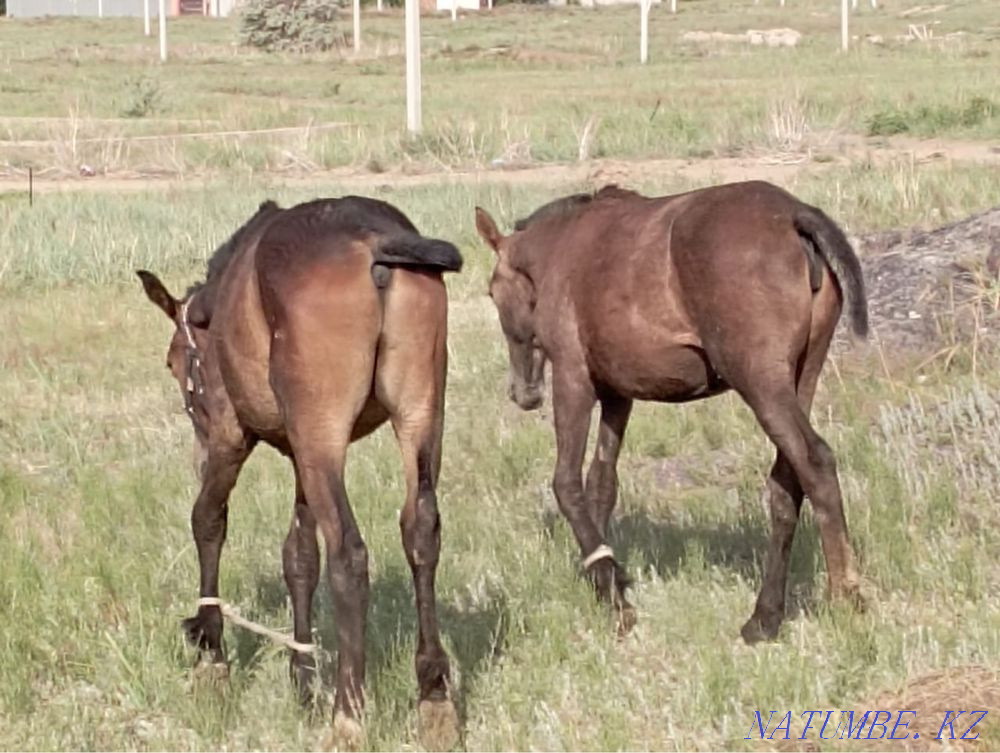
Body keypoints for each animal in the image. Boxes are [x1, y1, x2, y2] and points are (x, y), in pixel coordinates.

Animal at [137, 195, 463, 748]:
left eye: (175, 361)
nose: (195, 453)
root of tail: (375, 242)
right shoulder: (299, 455)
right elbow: (299, 556)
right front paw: (301, 677)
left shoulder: (232, 437)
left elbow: (208, 519)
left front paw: (211, 655)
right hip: (418, 417)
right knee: (421, 531)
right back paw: (434, 698)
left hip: (324, 435)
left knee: (349, 555)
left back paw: (347, 715)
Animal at [474, 181, 868, 642]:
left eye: (492, 292)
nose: (523, 392)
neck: (560, 250)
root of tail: (794, 213)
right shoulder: (617, 396)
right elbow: (602, 485)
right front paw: (606, 578)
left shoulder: (573, 381)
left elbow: (567, 484)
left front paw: (614, 598)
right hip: (801, 377)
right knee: (786, 482)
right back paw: (765, 616)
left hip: (760, 382)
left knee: (815, 461)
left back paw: (845, 594)